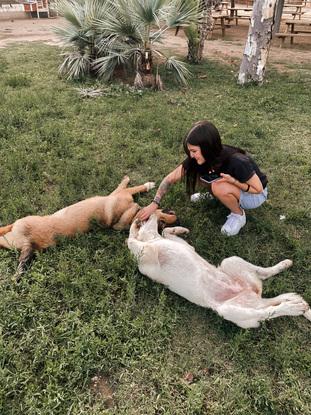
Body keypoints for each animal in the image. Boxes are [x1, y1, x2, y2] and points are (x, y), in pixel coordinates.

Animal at [0, 176, 177, 276]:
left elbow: (129, 186)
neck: (132, 216)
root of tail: (28, 242)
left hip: (16, 240)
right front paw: (146, 184)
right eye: (161, 222)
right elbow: (131, 185)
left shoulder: (120, 194)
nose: (177, 217)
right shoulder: (120, 193)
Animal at [127, 216, 311, 330]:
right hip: (229, 310)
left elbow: (160, 234)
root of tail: (256, 297)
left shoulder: (182, 246)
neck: (153, 240)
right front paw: (135, 230)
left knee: (266, 279)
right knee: (268, 311)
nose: (150, 214)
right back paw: (294, 306)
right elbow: (132, 241)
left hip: (230, 262)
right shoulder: (146, 259)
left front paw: (180, 229)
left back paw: (284, 267)